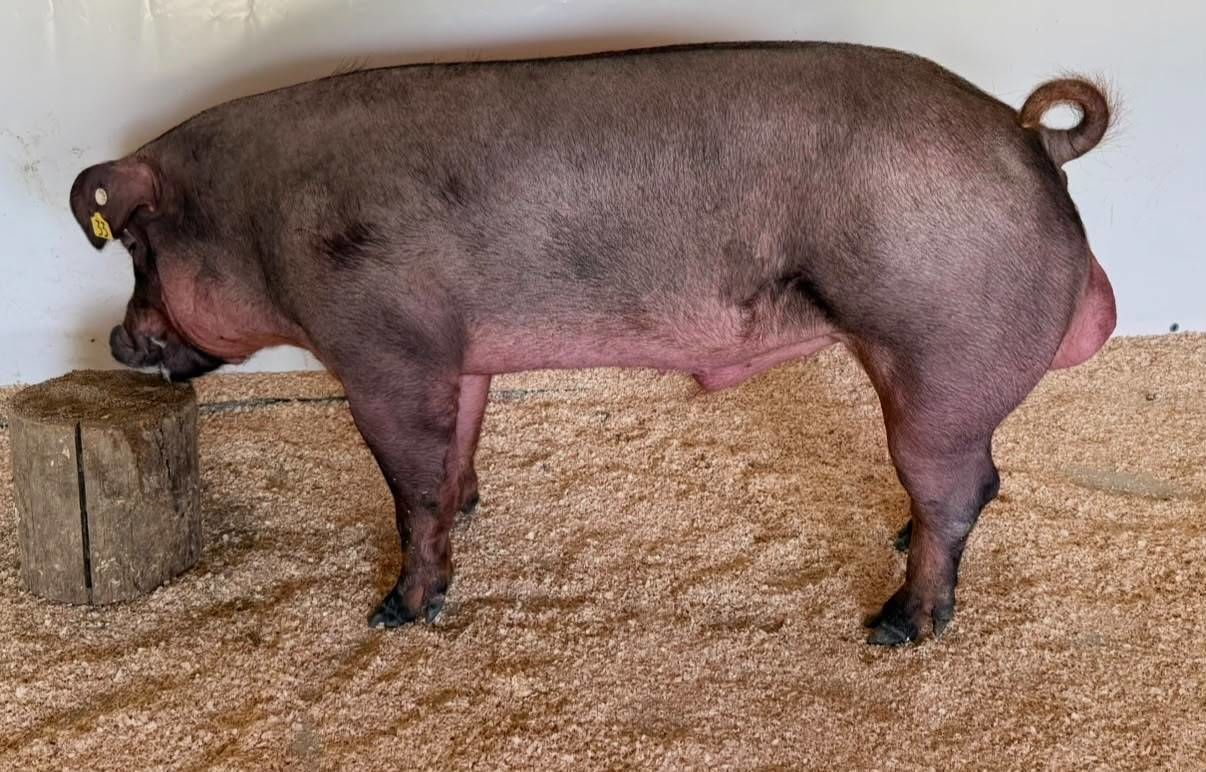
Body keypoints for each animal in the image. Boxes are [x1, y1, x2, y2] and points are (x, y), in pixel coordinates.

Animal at [68, 42, 1116, 645]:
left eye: (137, 247)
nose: (116, 339)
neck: (260, 219)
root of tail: (1027, 136)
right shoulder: (460, 352)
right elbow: (455, 450)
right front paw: (471, 511)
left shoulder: (383, 350)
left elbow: (408, 488)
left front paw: (397, 613)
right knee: (958, 487)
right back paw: (898, 548)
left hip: (942, 346)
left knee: (962, 487)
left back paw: (896, 627)